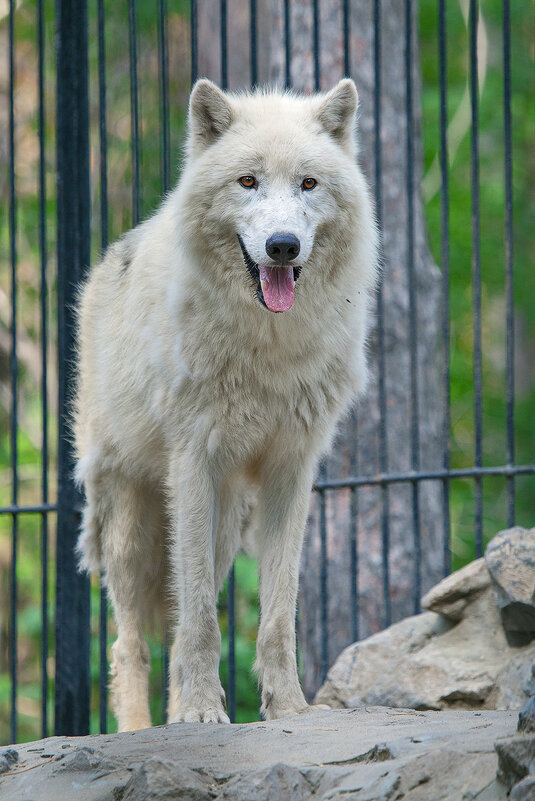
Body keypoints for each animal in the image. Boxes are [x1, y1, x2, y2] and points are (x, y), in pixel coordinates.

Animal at [73, 78, 378, 728]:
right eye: (247, 181)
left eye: (308, 184)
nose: (283, 246)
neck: (269, 348)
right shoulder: (192, 461)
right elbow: (199, 625)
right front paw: (201, 713)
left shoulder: (293, 470)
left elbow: (277, 615)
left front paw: (287, 707)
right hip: (132, 520)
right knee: (129, 643)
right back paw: (139, 729)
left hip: (227, 519)